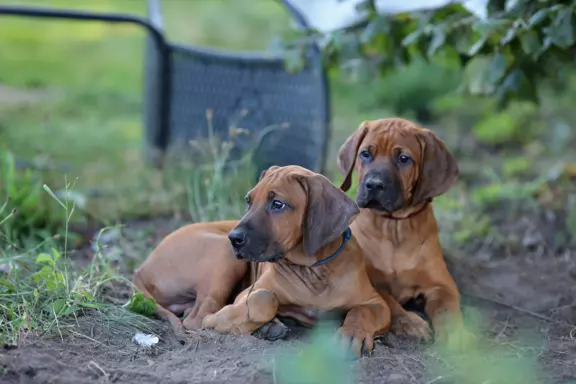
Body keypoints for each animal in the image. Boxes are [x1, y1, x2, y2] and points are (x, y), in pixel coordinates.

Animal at [135, 165, 394, 356]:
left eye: (277, 204)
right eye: (248, 201)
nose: (234, 238)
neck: (313, 271)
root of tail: (140, 269)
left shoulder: (377, 303)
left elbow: (362, 312)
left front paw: (352, 334)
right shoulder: (248, 293)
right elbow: (265, 299)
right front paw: (224, 320)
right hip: (224, 256)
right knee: (197, 317)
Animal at [338, 117, 472, 348]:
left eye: (403, 158)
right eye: (365, 154)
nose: (373, 184)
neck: (394, 228)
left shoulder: (442, 285)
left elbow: (447, 310)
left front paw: (456, 334)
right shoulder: (370, 283)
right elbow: (389, 301)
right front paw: (410, 322)